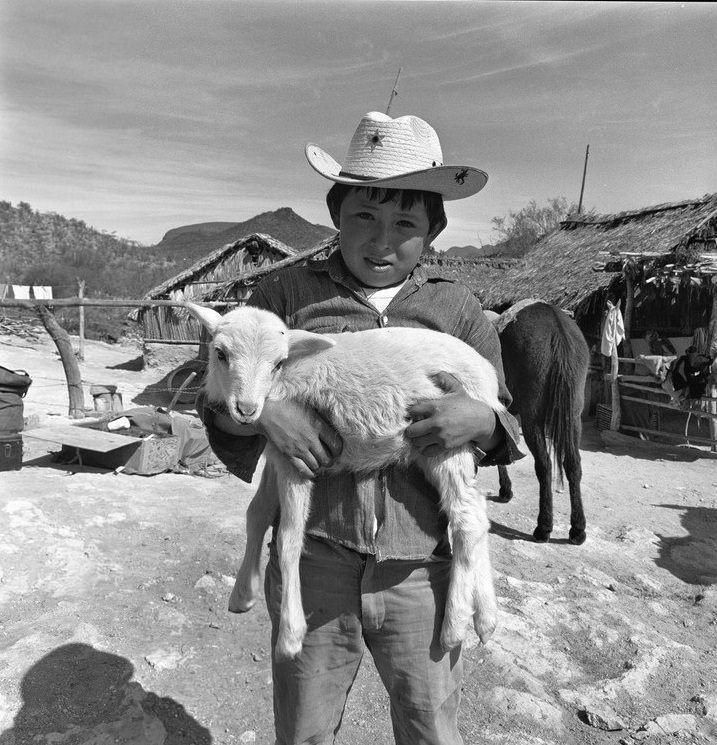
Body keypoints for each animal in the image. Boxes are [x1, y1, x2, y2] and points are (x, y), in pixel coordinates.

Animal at [190, 300, 504, 660]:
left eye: (278, 363)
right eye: (220, 353)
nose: (246, 409)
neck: (288, 375)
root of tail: (489, 375)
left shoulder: (296, 459)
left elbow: (288, 539)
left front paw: (291, 634)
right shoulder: (278, 452)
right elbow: (256, 514)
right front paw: (243, 594)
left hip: (447, 439)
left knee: (467, 519)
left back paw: (454, 625)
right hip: (434, 451)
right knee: (478, 511)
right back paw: (486, 617)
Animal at [492, 300, 588, 544]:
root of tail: (557, 328)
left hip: (532, 418)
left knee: (544, 465)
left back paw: (543, 527)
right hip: (573, 416)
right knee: (573, 463)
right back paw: (577, 529)